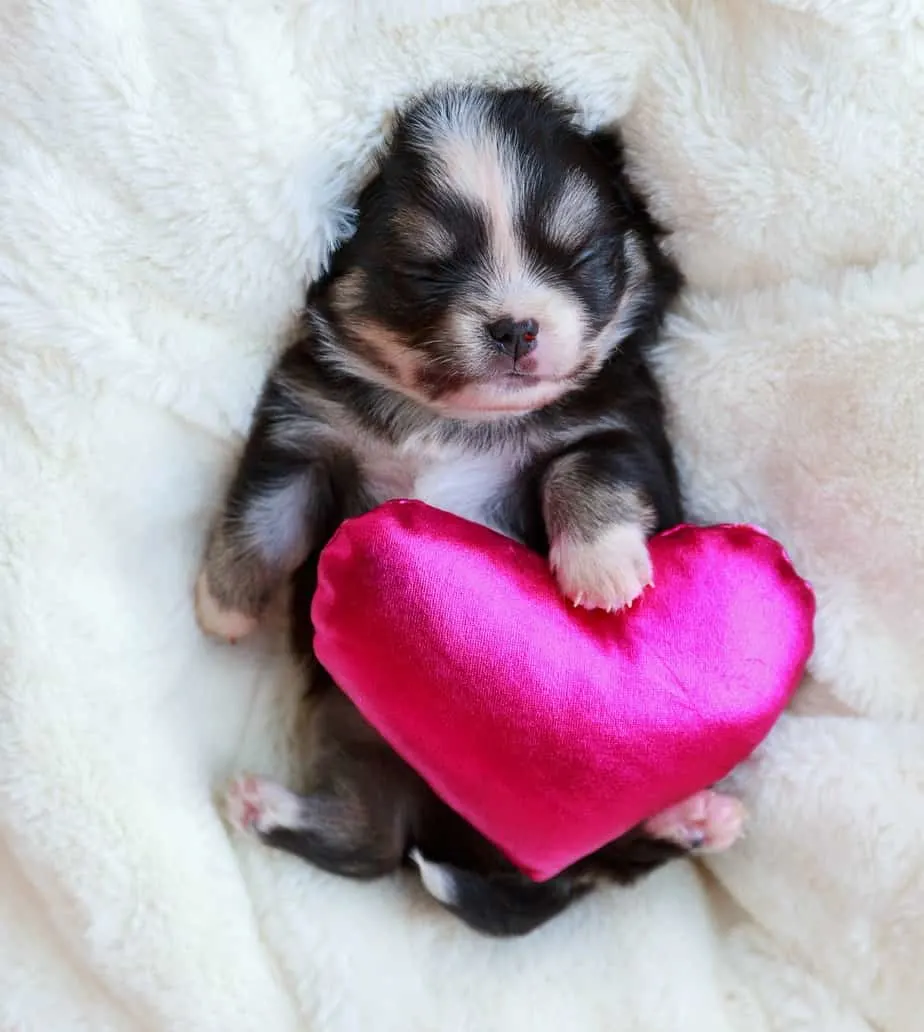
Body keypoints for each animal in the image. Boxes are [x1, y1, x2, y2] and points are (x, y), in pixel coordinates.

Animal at [198, 84, 747, 941]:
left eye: (580, 257)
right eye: (424, 269)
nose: (516, 324)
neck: (452, 421)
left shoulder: (624, 428)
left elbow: (583, 470)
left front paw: (602, 571)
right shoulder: (304, 429)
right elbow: (264, 519)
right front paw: (221, 606)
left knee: (611, 859)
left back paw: (694, 819)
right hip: (371, 750)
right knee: (369, 842)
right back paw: (262, 806)